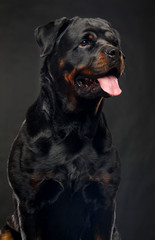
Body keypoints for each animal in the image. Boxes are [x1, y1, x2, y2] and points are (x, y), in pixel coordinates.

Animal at [0, 16, 124, 240]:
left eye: (115, 42)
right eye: (85, 42)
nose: (115, 52)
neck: (75, 125)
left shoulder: (104, 202)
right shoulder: (29, 204)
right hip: (5, 230)